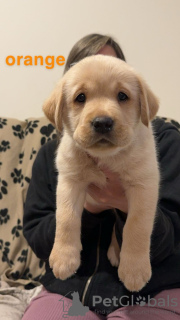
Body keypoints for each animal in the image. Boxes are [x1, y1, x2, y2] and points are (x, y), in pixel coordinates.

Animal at [43, 55, 160, 292]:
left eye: (123, 96)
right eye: (80, 97)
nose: (102, 122)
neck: (106, 157)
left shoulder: (144, 183)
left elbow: (137, 226)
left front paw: (135, 269)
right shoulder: (70, 180)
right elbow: (66, 218)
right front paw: (63, 258)